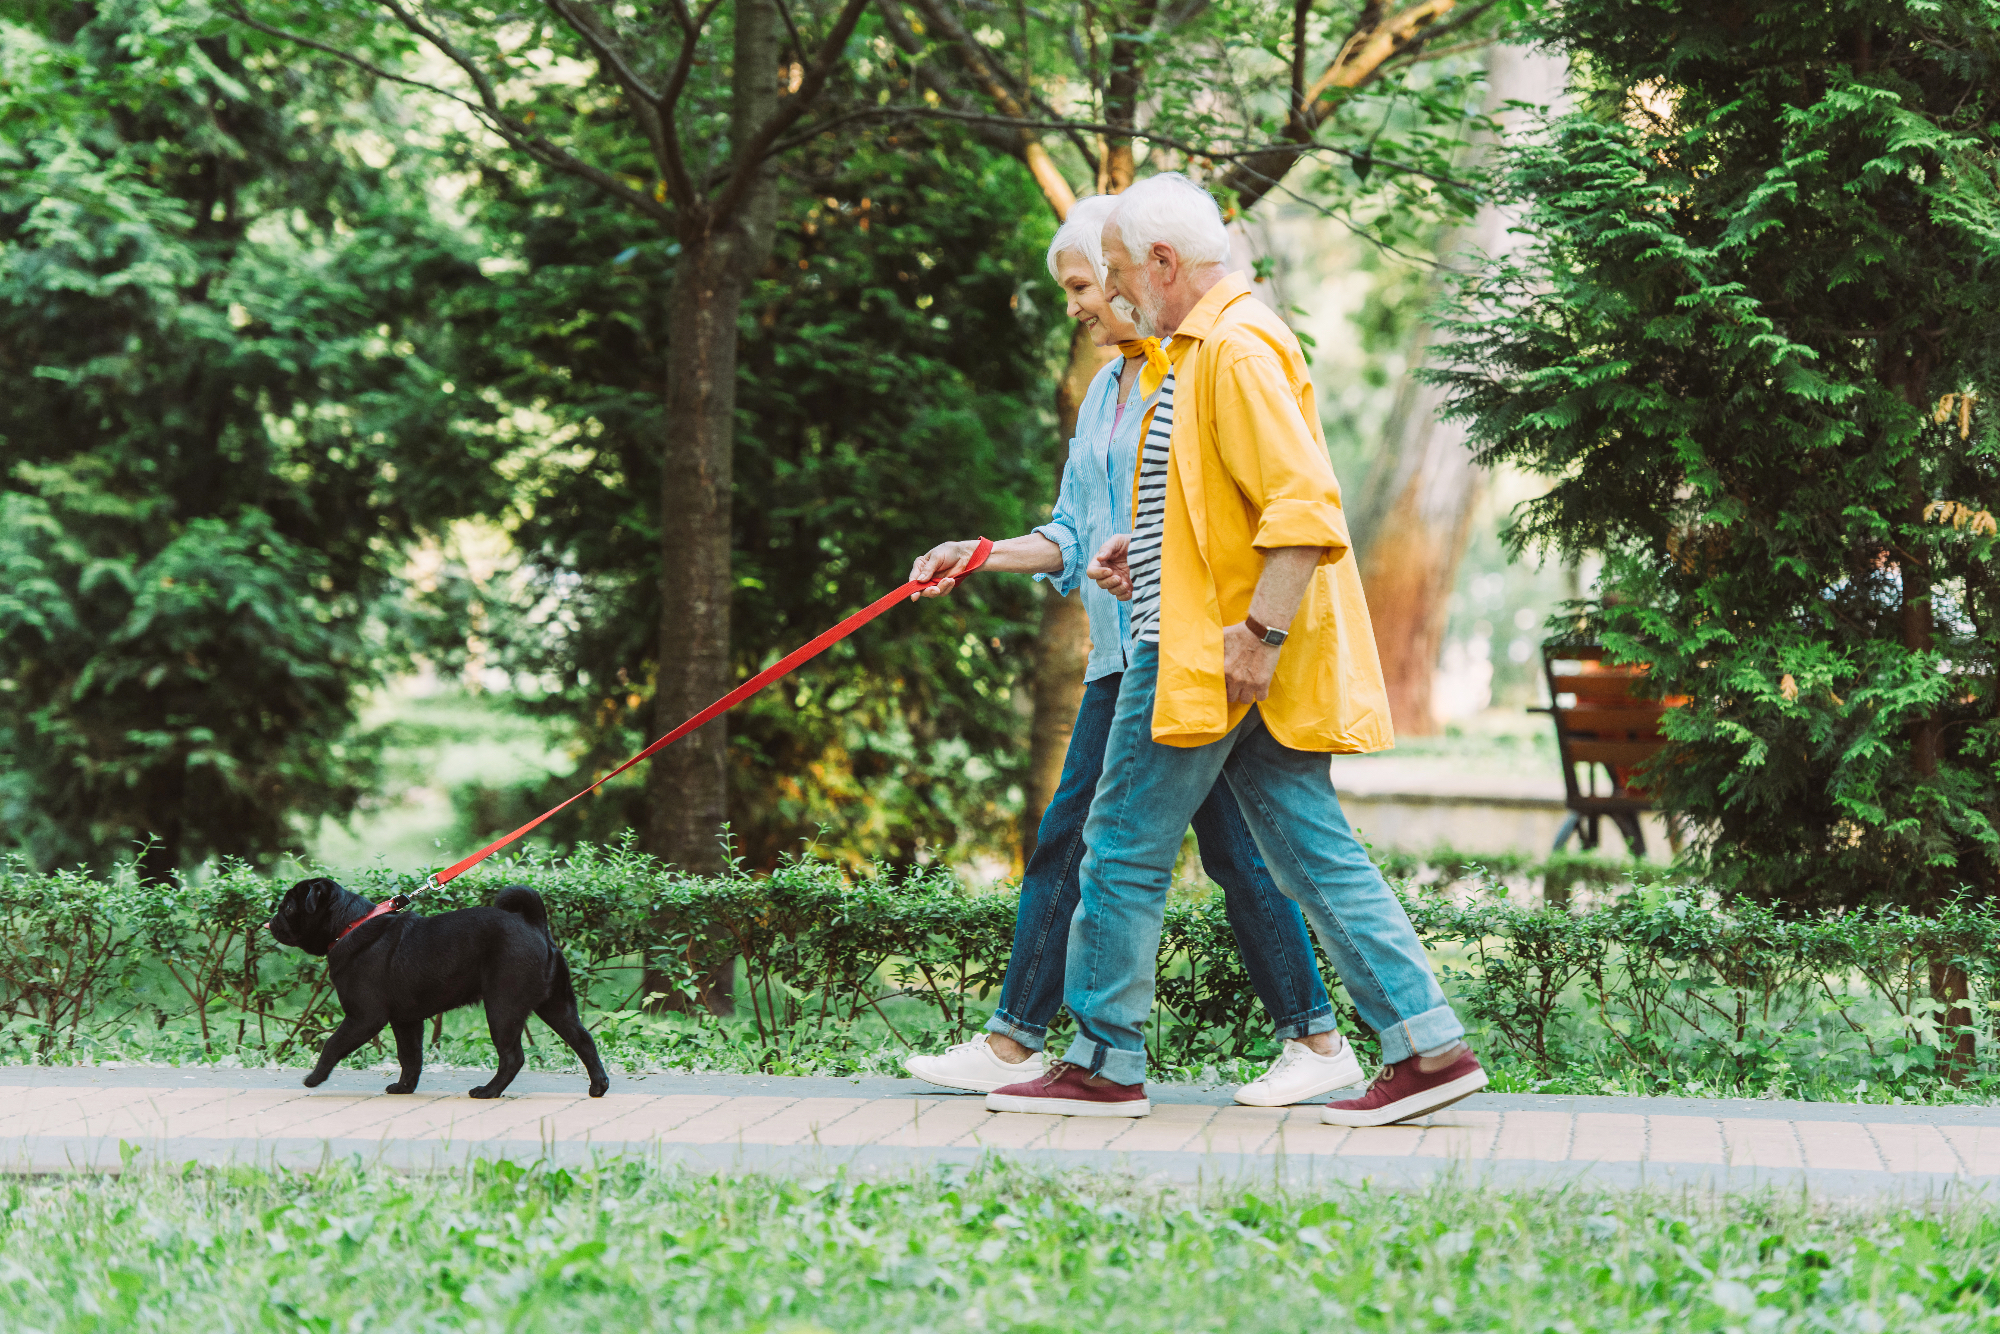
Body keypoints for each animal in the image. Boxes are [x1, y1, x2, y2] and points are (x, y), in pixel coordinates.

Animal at [266, 876, 608, 1096]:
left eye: (289, 908)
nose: (271, 920)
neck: (349, 924)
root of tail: (536, 926)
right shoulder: (406, 1021)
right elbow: (410, 1057)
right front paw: (404, 1088)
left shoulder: (364, 1017)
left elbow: (333, 1045)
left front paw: (314, 1077)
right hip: (555, 1005)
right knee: (583, 1039)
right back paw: (598, 1086)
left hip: (503, 1008)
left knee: (513, 1057)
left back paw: (488, 1092)